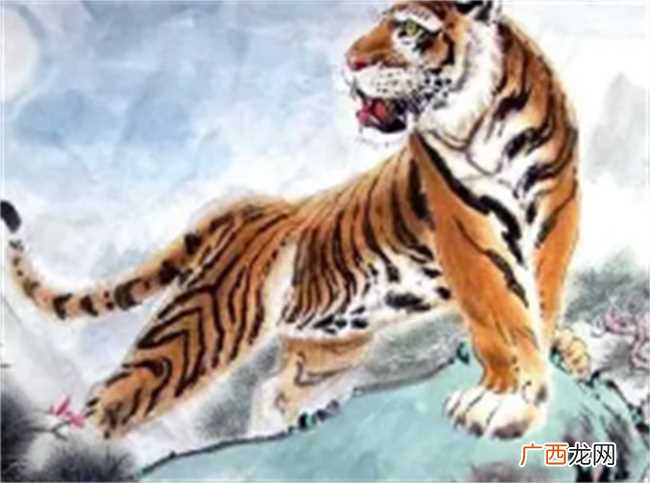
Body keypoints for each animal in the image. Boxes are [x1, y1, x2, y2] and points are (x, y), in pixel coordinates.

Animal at [2, 0, 590, 441]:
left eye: (406, 29)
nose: (349, 63)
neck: (486, 118)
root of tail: (251, 207)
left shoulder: (556, 209)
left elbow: (538, 300)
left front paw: (539, 374)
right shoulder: (464, 225)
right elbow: (502, 314)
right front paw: (508, 399)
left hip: (326, 346)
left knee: (272, 390)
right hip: (198, 332)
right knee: (107, 405)